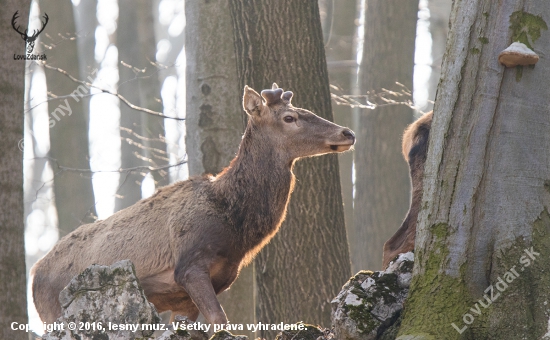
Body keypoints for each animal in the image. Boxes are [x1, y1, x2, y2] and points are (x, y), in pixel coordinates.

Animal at [31, 83, 358, 326]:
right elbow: (221, 320)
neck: (235, 228)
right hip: (54, 312)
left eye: (305, 110)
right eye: (289, 118)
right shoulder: (188, 266)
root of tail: (34, 274)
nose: (348, 132)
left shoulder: (193, 293)